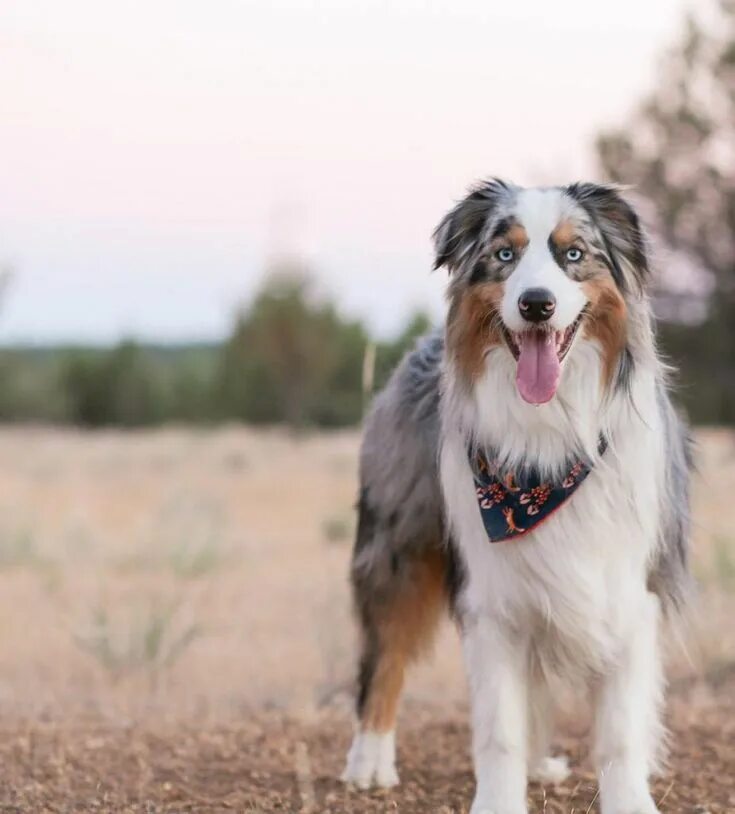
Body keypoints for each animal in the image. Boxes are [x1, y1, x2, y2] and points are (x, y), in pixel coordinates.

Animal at [342, 180, 692, 814]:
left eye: (573, 253)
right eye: (504, 254)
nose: (536, 304)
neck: (549, 442)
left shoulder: (631, 591)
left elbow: (620, 732)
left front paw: (628, 800)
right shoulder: (492, 598)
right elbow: (498, 727)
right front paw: (499, 801)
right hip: (400, 544)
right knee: (384, 656)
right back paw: (369, 762)